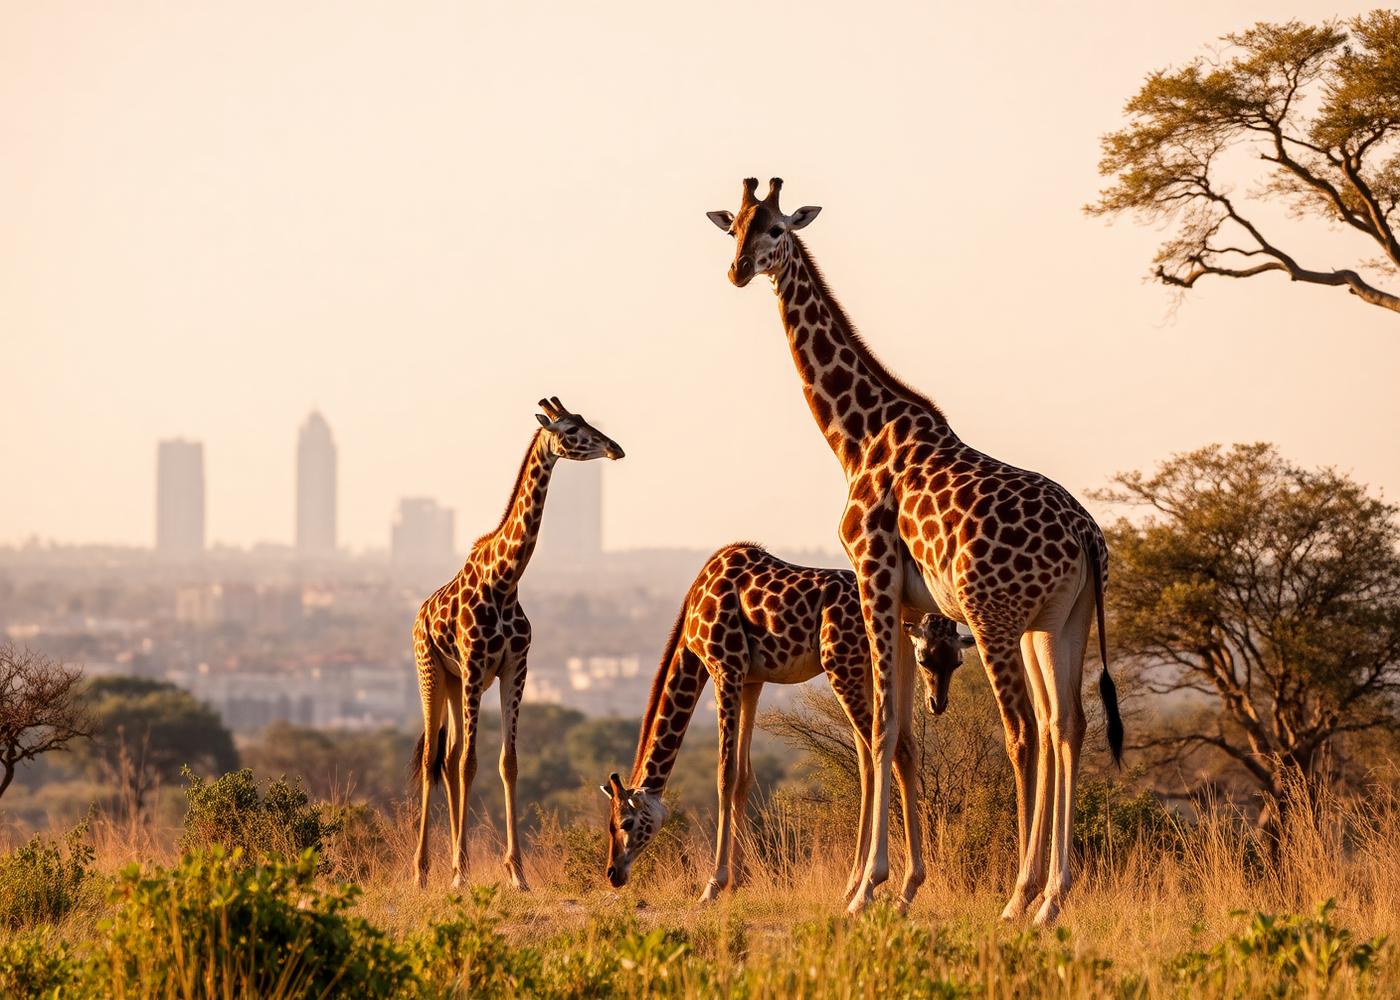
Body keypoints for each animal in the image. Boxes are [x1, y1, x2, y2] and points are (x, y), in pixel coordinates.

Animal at [409, 396, 624, 891]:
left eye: (586, 420)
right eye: (570, 429)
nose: (615, 448)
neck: (505, 581)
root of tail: (418, 616)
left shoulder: (515, 667)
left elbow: (507, 763)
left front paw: (516, 874)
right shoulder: (474, 665)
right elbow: (471, 763)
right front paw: (459, 877)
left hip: (454, 682)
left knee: (448, 757)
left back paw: (458, 864)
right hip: (432, 671)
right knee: (433, 757)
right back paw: (424, 872)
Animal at [601, 542, 972, 909]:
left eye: (625, 823)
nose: (613, 873)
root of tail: (907, 616)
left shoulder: (725, 668)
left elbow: (725, 774)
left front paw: (713, 887)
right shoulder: (751, 680)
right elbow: (743, 775)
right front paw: (738, 881)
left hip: (842, 665)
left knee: (892, 749)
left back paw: (893, 886)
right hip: (880, 669)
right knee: (886, 752)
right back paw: (863, 885)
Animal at [707, 179, 1124, 925]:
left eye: (777, 229)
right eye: (735, 229)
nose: (738, 270)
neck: (855, 435)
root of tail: (1088, 537)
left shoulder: (872, 573)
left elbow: (879, 729)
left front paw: (864, 889)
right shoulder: (904, 604)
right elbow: (901, 733)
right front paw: (891, 885)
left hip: (994, 614)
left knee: (1023, 731)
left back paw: (1018, 896)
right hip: (1060, 620)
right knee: (1066, 724)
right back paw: (1053, 897)